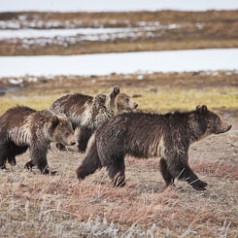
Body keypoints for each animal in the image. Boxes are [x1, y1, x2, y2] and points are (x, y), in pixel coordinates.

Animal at [76, 105, 232, 191]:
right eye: (218, 118)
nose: (229, 125)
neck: (189, 132)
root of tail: (102, 125)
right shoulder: (175, 138)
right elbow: (179, 165)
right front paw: (201, 183)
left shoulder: (167, 146)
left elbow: (167, 166)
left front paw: (170, 184)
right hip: (114, 142)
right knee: (115, 166)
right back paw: (120, 183)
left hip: (101, 144)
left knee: (92, 161)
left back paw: (80, 174)